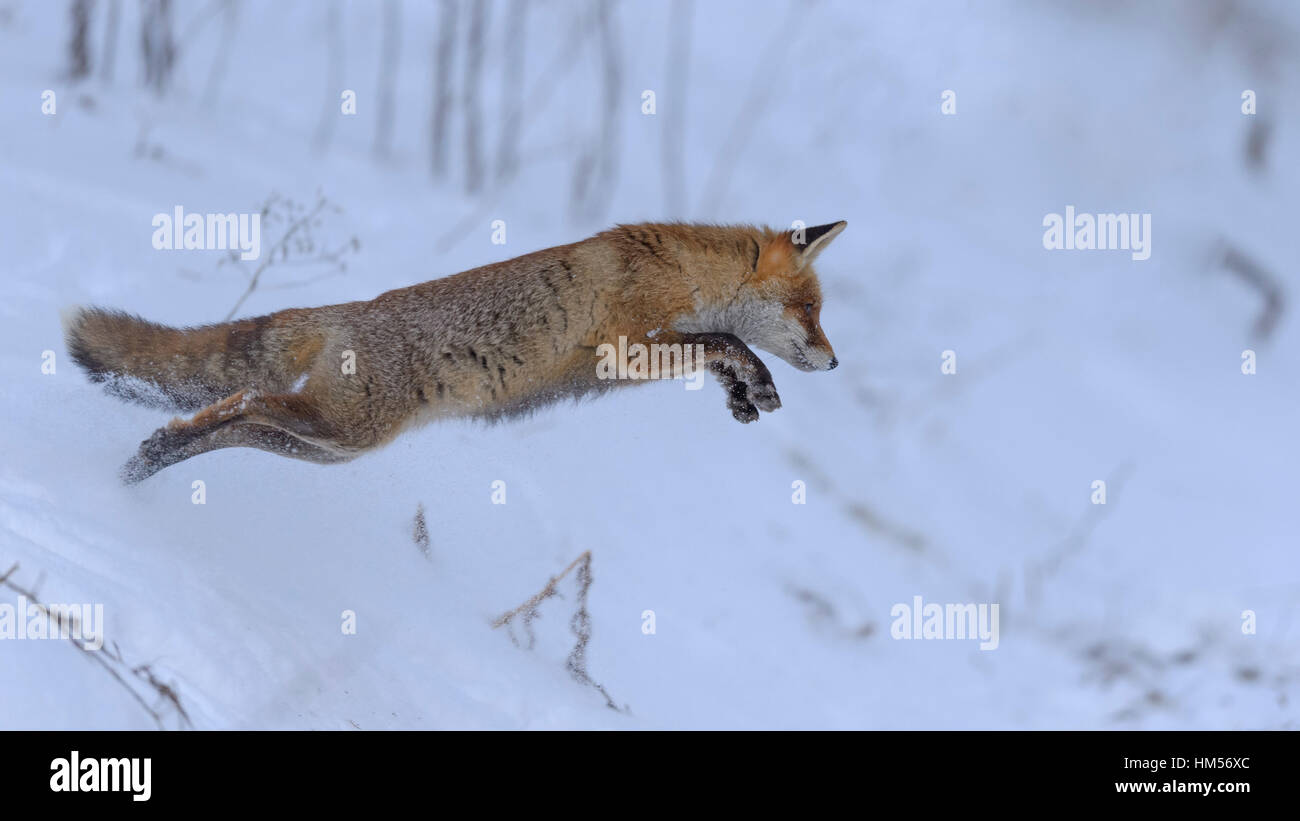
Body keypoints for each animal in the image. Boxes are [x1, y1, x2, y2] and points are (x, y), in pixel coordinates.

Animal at [65, 220, 847, 483]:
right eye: (811, 311)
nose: (836, 363)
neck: (682, 269)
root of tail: (354, 309)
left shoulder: (641, 357)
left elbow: (717, 349)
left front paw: (741, 395)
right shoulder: (628, 345)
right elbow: (729, 338)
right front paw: (756, 381)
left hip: (328, 443)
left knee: (237, 423)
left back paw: (148, 460)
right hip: (339, 427)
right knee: (243, 400)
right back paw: (158, 448)